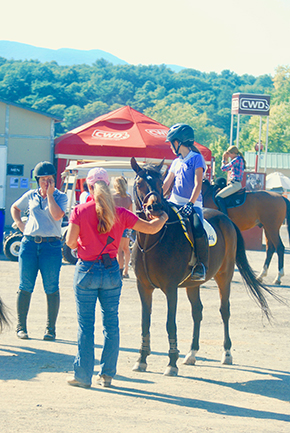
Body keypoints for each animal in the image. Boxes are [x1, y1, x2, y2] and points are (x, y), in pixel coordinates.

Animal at [130, 158, 280, 374]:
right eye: (139, 183)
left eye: (159, 183)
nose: (155, 207)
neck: (152, 239)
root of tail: (225, 218)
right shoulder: (143, 287)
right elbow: (145, 322)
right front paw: (141, 359)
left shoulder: (170, 288)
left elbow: (170, 323)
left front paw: (171, 363)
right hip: (193, 284)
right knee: (197, 312)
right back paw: (192, 353)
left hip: (224, 275)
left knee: (224, 310)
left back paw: (227, 353)